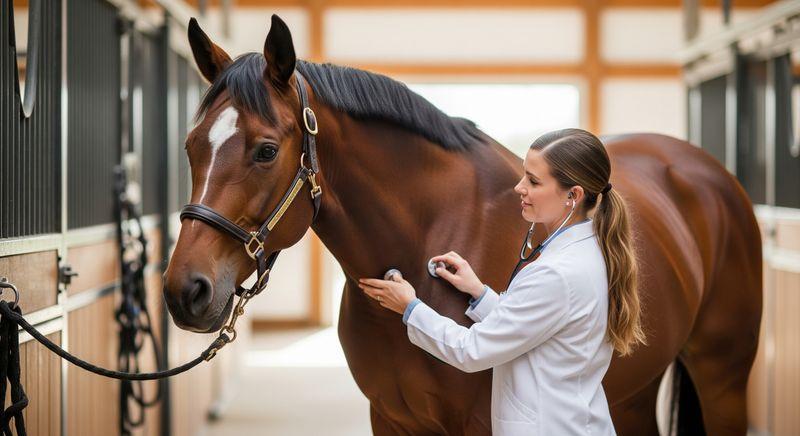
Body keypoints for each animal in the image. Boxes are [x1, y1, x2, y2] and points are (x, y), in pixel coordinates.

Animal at [163, 15, 762, 435]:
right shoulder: (391, 420)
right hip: (633, 392)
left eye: (265, 151)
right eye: (191, 147)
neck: (422, 237)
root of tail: (706, 173)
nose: (184, 291)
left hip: (724, 380)